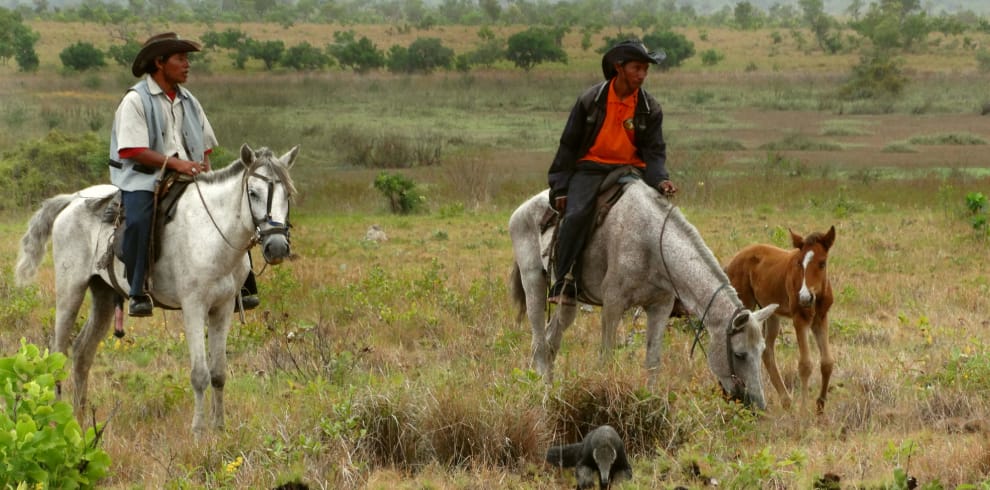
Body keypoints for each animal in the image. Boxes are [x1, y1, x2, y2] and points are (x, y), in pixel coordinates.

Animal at [15, 144, 298, 434]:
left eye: (287, 194)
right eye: (253, 193)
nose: (277, 247)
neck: (211, 234)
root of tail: (73, 200)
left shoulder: (223, 307)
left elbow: (218, 373)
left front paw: (220, 429)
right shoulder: (194, 307)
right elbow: (200, 374)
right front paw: (198, 432)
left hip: (103, 295)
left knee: (83, 352)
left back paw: (79, 419)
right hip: (70, 291)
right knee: (58, 354)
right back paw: (55, 420)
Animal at [512, 180, 784, 410]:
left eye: (761, 350)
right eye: (739, 353)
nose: (758, 405)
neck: (651, 243)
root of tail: (521, 210)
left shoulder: (659, 307)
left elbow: (653, 361)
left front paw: (651, 405)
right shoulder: (613, 305)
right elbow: (606, 357)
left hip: (567, 303)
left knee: (551, 341)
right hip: (533, 283)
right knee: (539, 344)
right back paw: (543, 393)